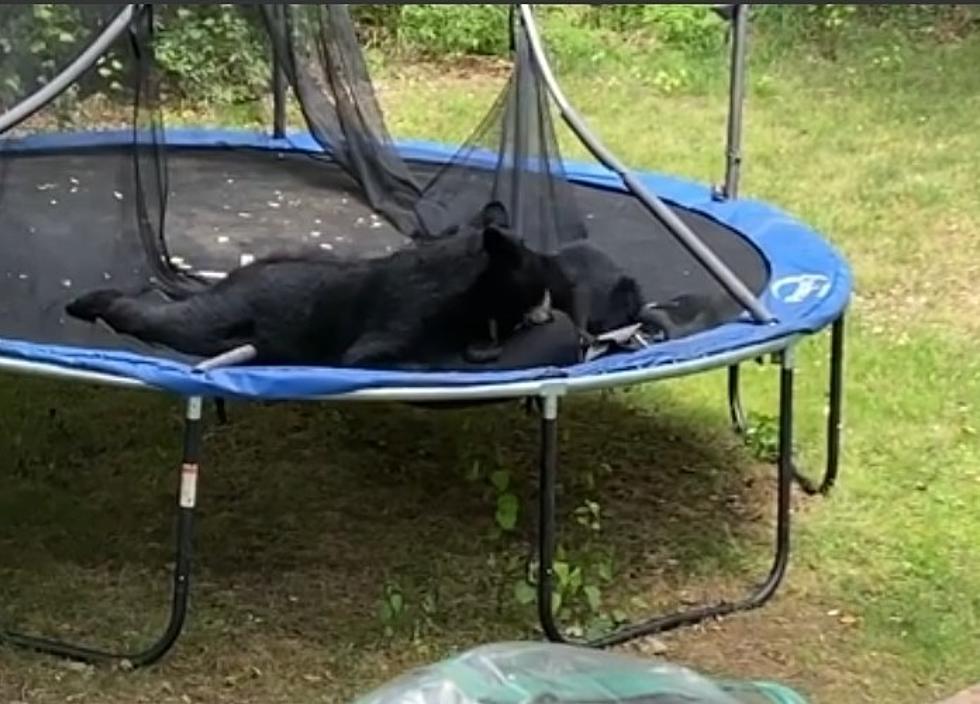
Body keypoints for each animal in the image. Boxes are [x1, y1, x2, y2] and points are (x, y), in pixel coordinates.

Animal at [63, 202, 576, 368]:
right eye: (538, 281)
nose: (551, 307)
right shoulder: (376, 347)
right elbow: (420, 358)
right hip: (201, 324)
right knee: (147, 313)